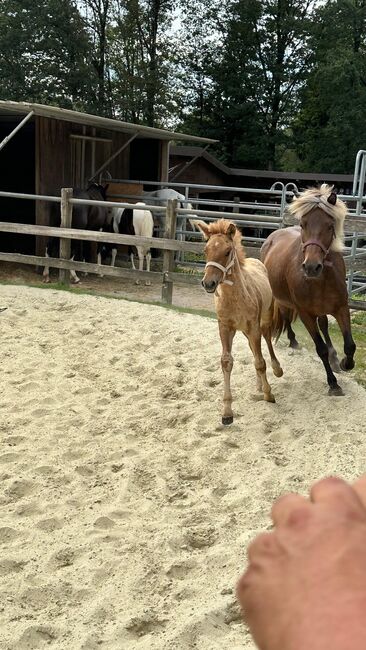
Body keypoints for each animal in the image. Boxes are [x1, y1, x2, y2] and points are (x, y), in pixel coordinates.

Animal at [194, 218, 284, 426]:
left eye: (227, 251)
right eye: (206, 250)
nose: (208, 283)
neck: (236, 298)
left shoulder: (254, 327)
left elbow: (260, 362)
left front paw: (269, 395)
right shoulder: (225, 328)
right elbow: (227, 362)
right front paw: (227, 413)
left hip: (264, 320)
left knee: (267, 342)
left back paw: (276, 370)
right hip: (245, 330)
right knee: (254, 350)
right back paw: (258, 384)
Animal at [262, 182, 356, 394]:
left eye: (330, 225)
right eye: (303, 224)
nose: (312, 267)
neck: (321, 279)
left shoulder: (341, 308)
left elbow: (349, 345)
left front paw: (344, 363)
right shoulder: (305, 313)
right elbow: (320, 348)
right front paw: (333, 383)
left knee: (324, 324)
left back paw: (335, 358)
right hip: (282, 299)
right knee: (285, 315)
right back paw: (293, 340)